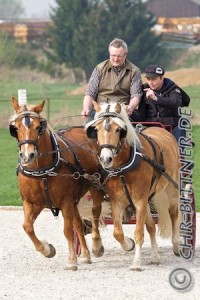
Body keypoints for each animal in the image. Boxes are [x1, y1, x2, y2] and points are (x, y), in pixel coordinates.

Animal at [9, 97, 105, 270]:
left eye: (38, 127)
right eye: (15, 128)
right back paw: (85, 255)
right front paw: (47, 250)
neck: (42, 171)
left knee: (94, 214)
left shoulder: (65, 200)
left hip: (95, 186)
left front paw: (71, 260)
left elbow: (67, 230)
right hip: (75, 198)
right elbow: (27, 227)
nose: (27, 156)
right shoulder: (31, 203)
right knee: (78, 224)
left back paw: (96, 246)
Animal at [85, 101, 180, 272]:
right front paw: (129, 245)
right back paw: (155, 257)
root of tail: (162, 130)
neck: (122, 167)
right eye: (96, 129)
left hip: (171, 188)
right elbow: (118, 232)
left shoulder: (140, 201)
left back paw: (176, 245)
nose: (106, 159)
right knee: (151, 226)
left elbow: (139, 233)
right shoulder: (117, 201)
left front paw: (136, 263)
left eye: (118, 129)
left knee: (173, 213)